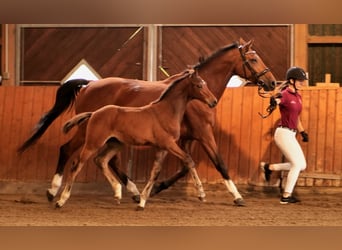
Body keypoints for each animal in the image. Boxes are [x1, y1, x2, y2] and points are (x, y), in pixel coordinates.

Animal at [55, 68, 216, 209]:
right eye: (199, 85)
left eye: (206, 84)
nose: (213, 101)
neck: (166, 111)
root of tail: (94, 113)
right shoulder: (169, 144)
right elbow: (189, 160)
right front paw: (201, 194)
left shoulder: (162, 147)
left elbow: (155, 172)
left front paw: (142, 201)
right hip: (93, 143)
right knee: (77, 164)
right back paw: (60, 200)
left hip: (115, 144)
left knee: (101, 160)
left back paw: (118, 193)